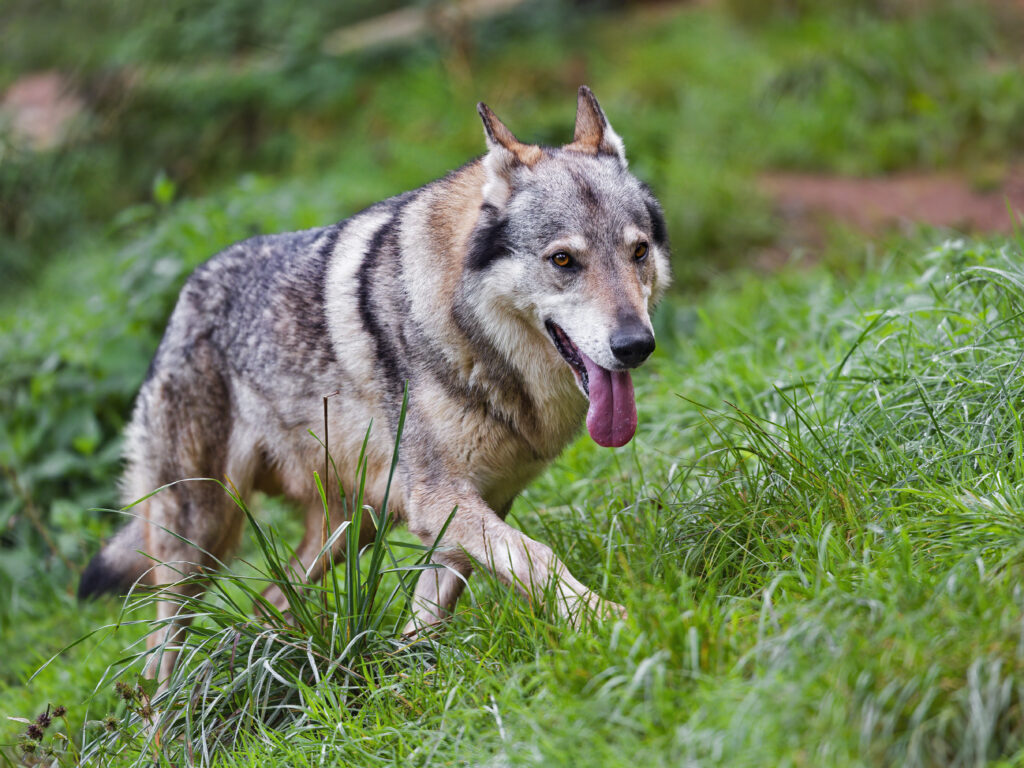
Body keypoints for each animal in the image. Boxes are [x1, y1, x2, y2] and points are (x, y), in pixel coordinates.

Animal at [79, 86, 671, 681]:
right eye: (564, 260)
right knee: (159, 655)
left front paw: (406, 680)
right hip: (200, 537)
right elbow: (538, 556)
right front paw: (614, 622)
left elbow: (430, 618)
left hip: (345, 531)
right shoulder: (439, 500)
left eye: (638, 252)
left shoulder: (476, 506)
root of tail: (183, 298)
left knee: (265, 606)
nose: (635, 345)